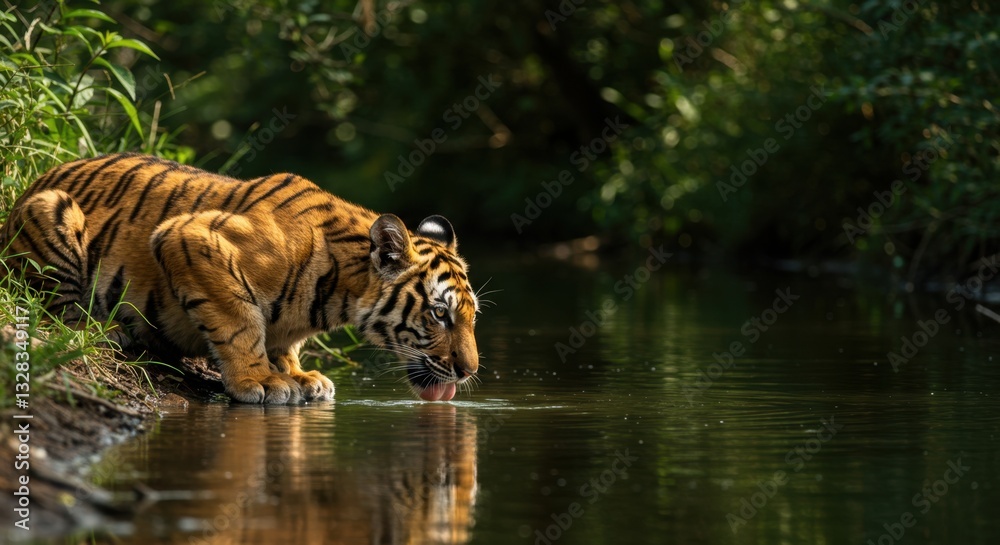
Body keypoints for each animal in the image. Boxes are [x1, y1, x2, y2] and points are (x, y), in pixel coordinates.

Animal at [0, 153, 480, 404]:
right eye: (440, 314)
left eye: (472, 316)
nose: (468, 372)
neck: (337, 293)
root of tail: (33, 184)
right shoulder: (187, 236)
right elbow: (240, 321)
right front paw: (261, 381)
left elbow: (282, 342)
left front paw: (299, 375)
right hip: (54, 209)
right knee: (53, 310)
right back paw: (102, 330)